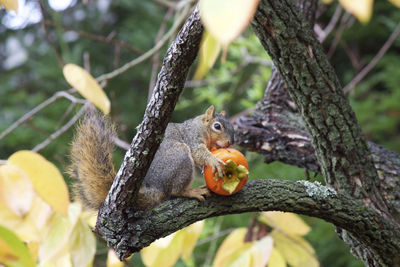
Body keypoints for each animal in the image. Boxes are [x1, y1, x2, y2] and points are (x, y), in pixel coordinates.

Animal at [68, 105, 234, 213]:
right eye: (217, 126)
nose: (230, 142)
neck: (200, 127)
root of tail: (156, 188)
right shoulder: (193, 138)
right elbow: (199, 153)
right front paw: (214, 161)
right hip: (180, 157)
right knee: (174, 191)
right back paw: (191, 191)